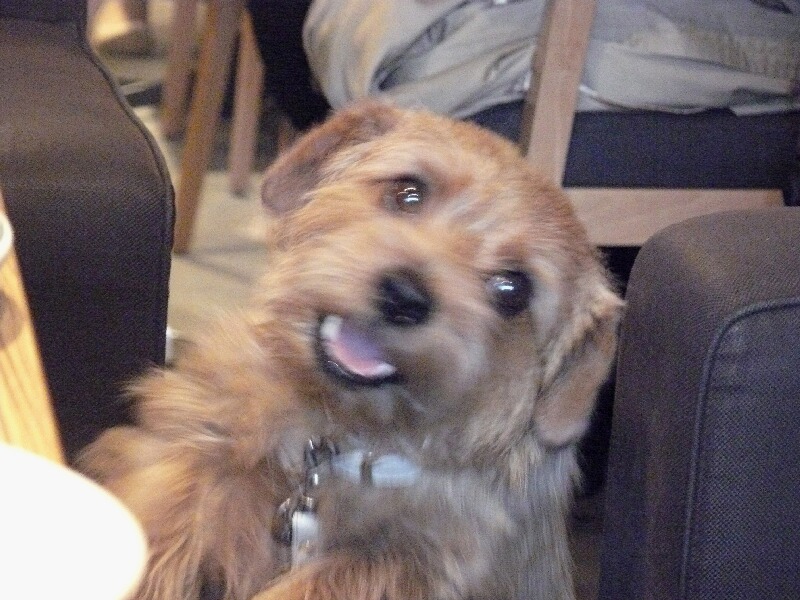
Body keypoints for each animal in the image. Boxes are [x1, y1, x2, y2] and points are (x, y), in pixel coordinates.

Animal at [80, 101, 622, 600]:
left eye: (512, 289)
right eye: (407, 192)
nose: (404, 297)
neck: (331, 439)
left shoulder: (420, 560)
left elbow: (338, 576)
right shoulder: (198, 442)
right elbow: (173, 494)